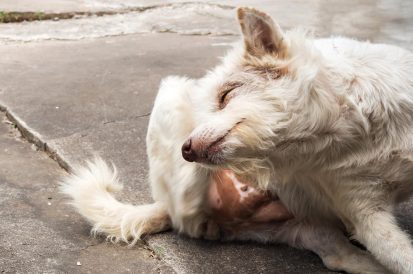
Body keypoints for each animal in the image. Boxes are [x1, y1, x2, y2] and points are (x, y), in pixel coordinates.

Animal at [61, 5, 412, 274]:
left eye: (226, 94)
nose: (186, 150)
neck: (354, 135)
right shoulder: (367, 216)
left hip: (307, 230)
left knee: (342, 257)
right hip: (173, 92)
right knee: (185, 201)